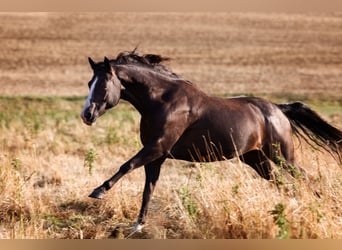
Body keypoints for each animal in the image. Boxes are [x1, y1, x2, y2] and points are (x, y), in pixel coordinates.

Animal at [81, 49, 342, 231]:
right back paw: (298, 207)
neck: (162, 101)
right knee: (283, 184)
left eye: (103, 85)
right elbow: (148, 188)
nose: (86, 115)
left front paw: (98, 191)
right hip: (257, 160)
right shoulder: (157, 156)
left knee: (304, 177)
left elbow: (127, 165)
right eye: (89, 83)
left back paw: (323, 205)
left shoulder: (157, 147)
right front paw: (138, 225)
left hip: (282, 156)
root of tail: (278, 109)